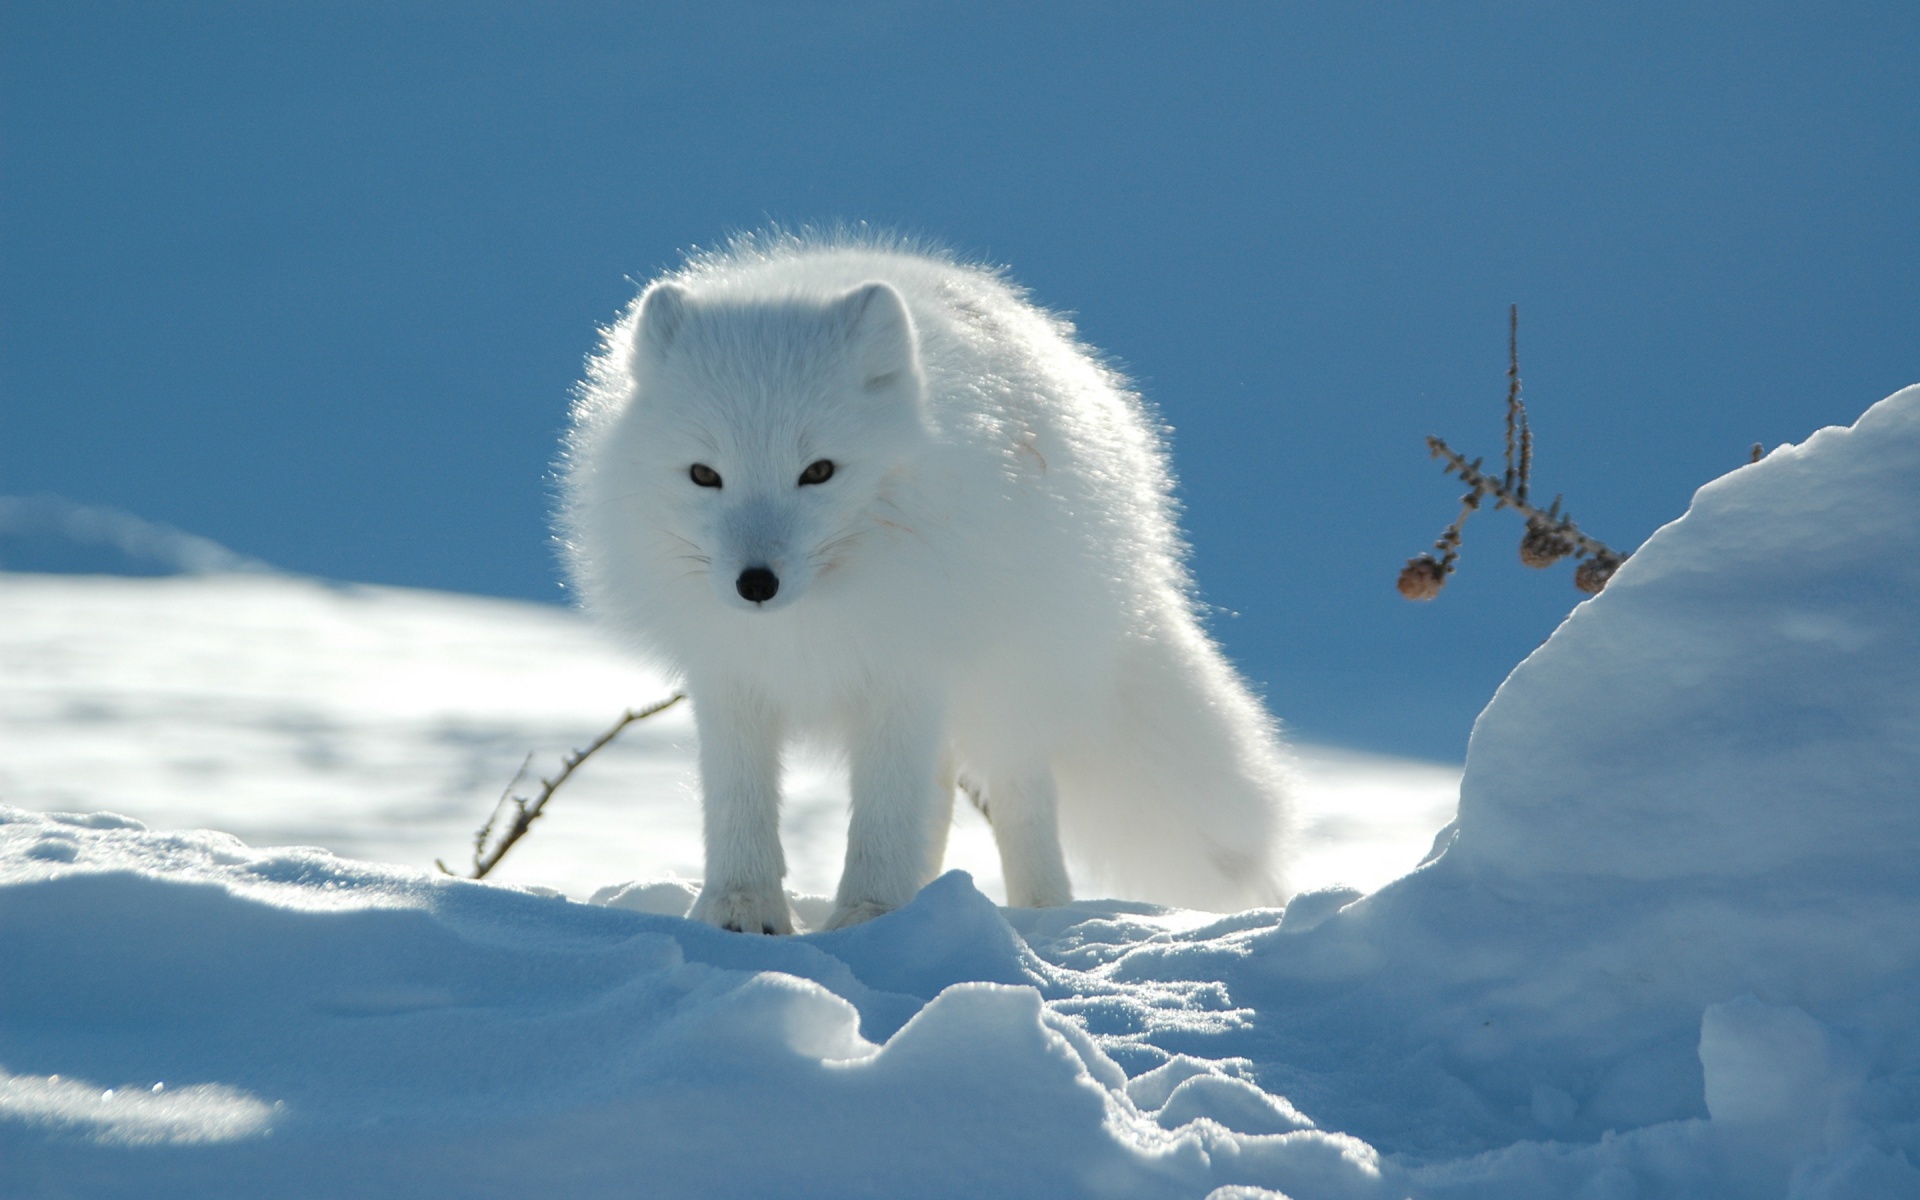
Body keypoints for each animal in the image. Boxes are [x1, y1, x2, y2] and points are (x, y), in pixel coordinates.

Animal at [560, 231, 1297, 925]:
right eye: (703, 475)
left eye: (819, 471)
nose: (756, 584)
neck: (809, 623)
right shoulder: (729, 676)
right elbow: (739, 803)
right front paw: (741, 910)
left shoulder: (906, 671)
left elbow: (886, 815)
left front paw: (868, 916)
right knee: (938, 799)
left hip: (1010, 687)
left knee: (1019, 801)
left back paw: (1040, 915)